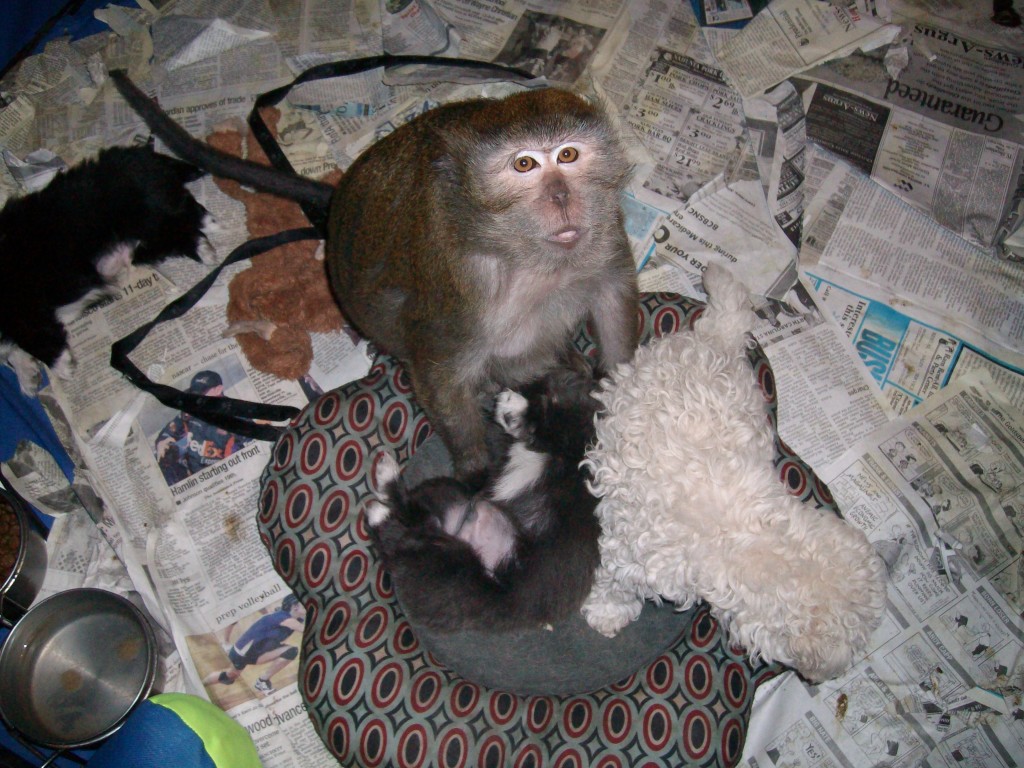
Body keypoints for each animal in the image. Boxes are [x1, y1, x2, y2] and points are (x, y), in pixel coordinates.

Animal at [110, 72, 639, 483]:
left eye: (568, 156)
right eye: (525, 164)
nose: (560, 197)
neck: (526, 255)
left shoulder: (606, 233)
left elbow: (613, 299)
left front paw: (620, 399)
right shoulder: (460, 292)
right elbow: (441, 376)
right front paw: (476, 471)